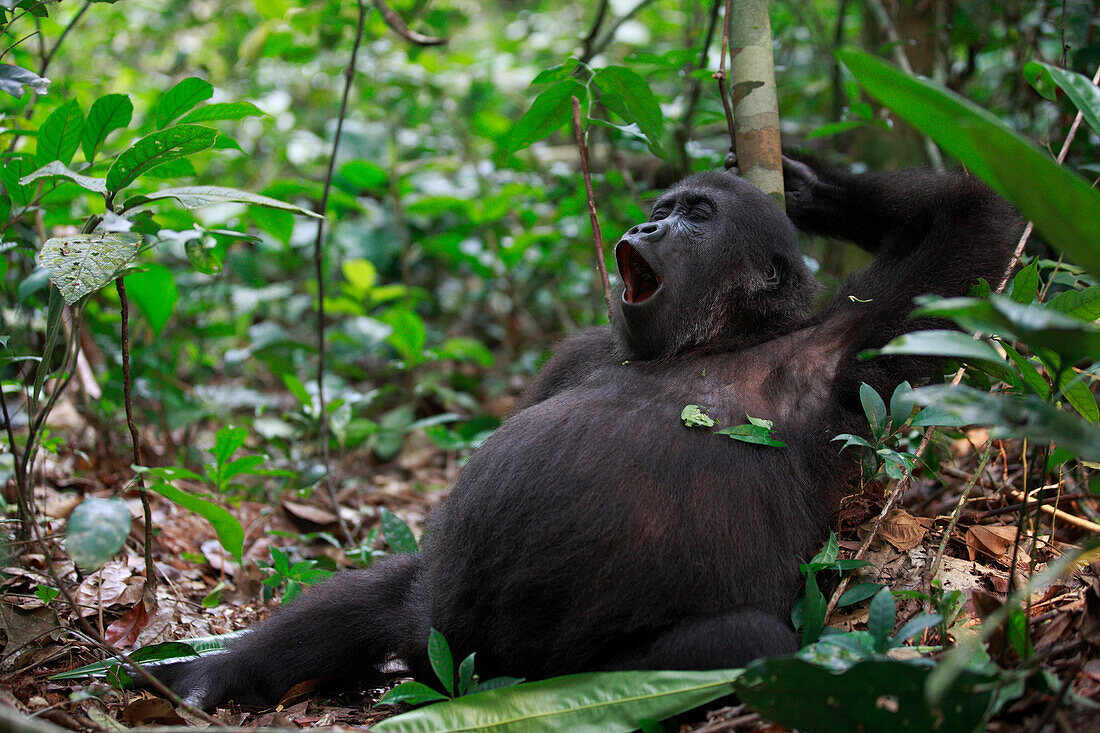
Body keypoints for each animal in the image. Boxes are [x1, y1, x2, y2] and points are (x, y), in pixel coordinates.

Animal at [139, 155, 1020, 708]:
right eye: (662, 210)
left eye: (696, 215)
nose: (650, 228)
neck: (707, 343)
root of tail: (479, 669)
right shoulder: (578, 353)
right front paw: (808, 184)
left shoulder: (848, 349)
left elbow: (972, 237)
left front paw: (813, 188)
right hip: (436, 630)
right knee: (387, 588)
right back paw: (214, 678)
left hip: (554, 656)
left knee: (747, 636)